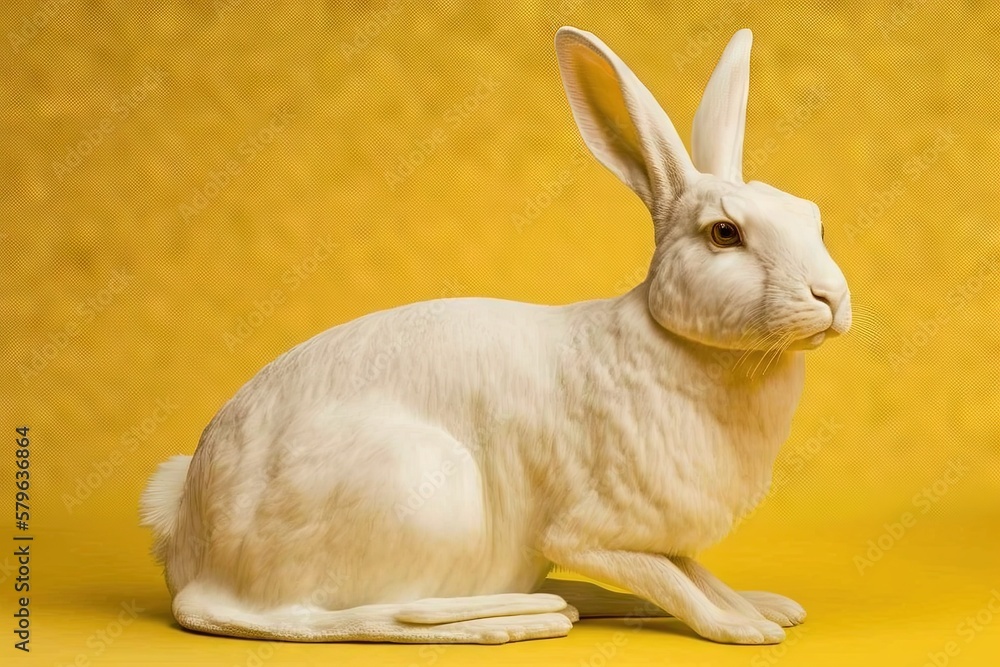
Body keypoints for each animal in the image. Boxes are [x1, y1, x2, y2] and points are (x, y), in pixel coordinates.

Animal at [141, 27, 852, 648]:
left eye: (812, 217)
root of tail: (192, 553)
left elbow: (694, 573)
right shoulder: (590, 533)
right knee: (343, 617)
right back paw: (522, 618)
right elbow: (673, 582)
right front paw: (741, 630)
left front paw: (759, 607)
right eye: (724, 233)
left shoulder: (655, 535)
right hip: (424, 490)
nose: (832, 298)